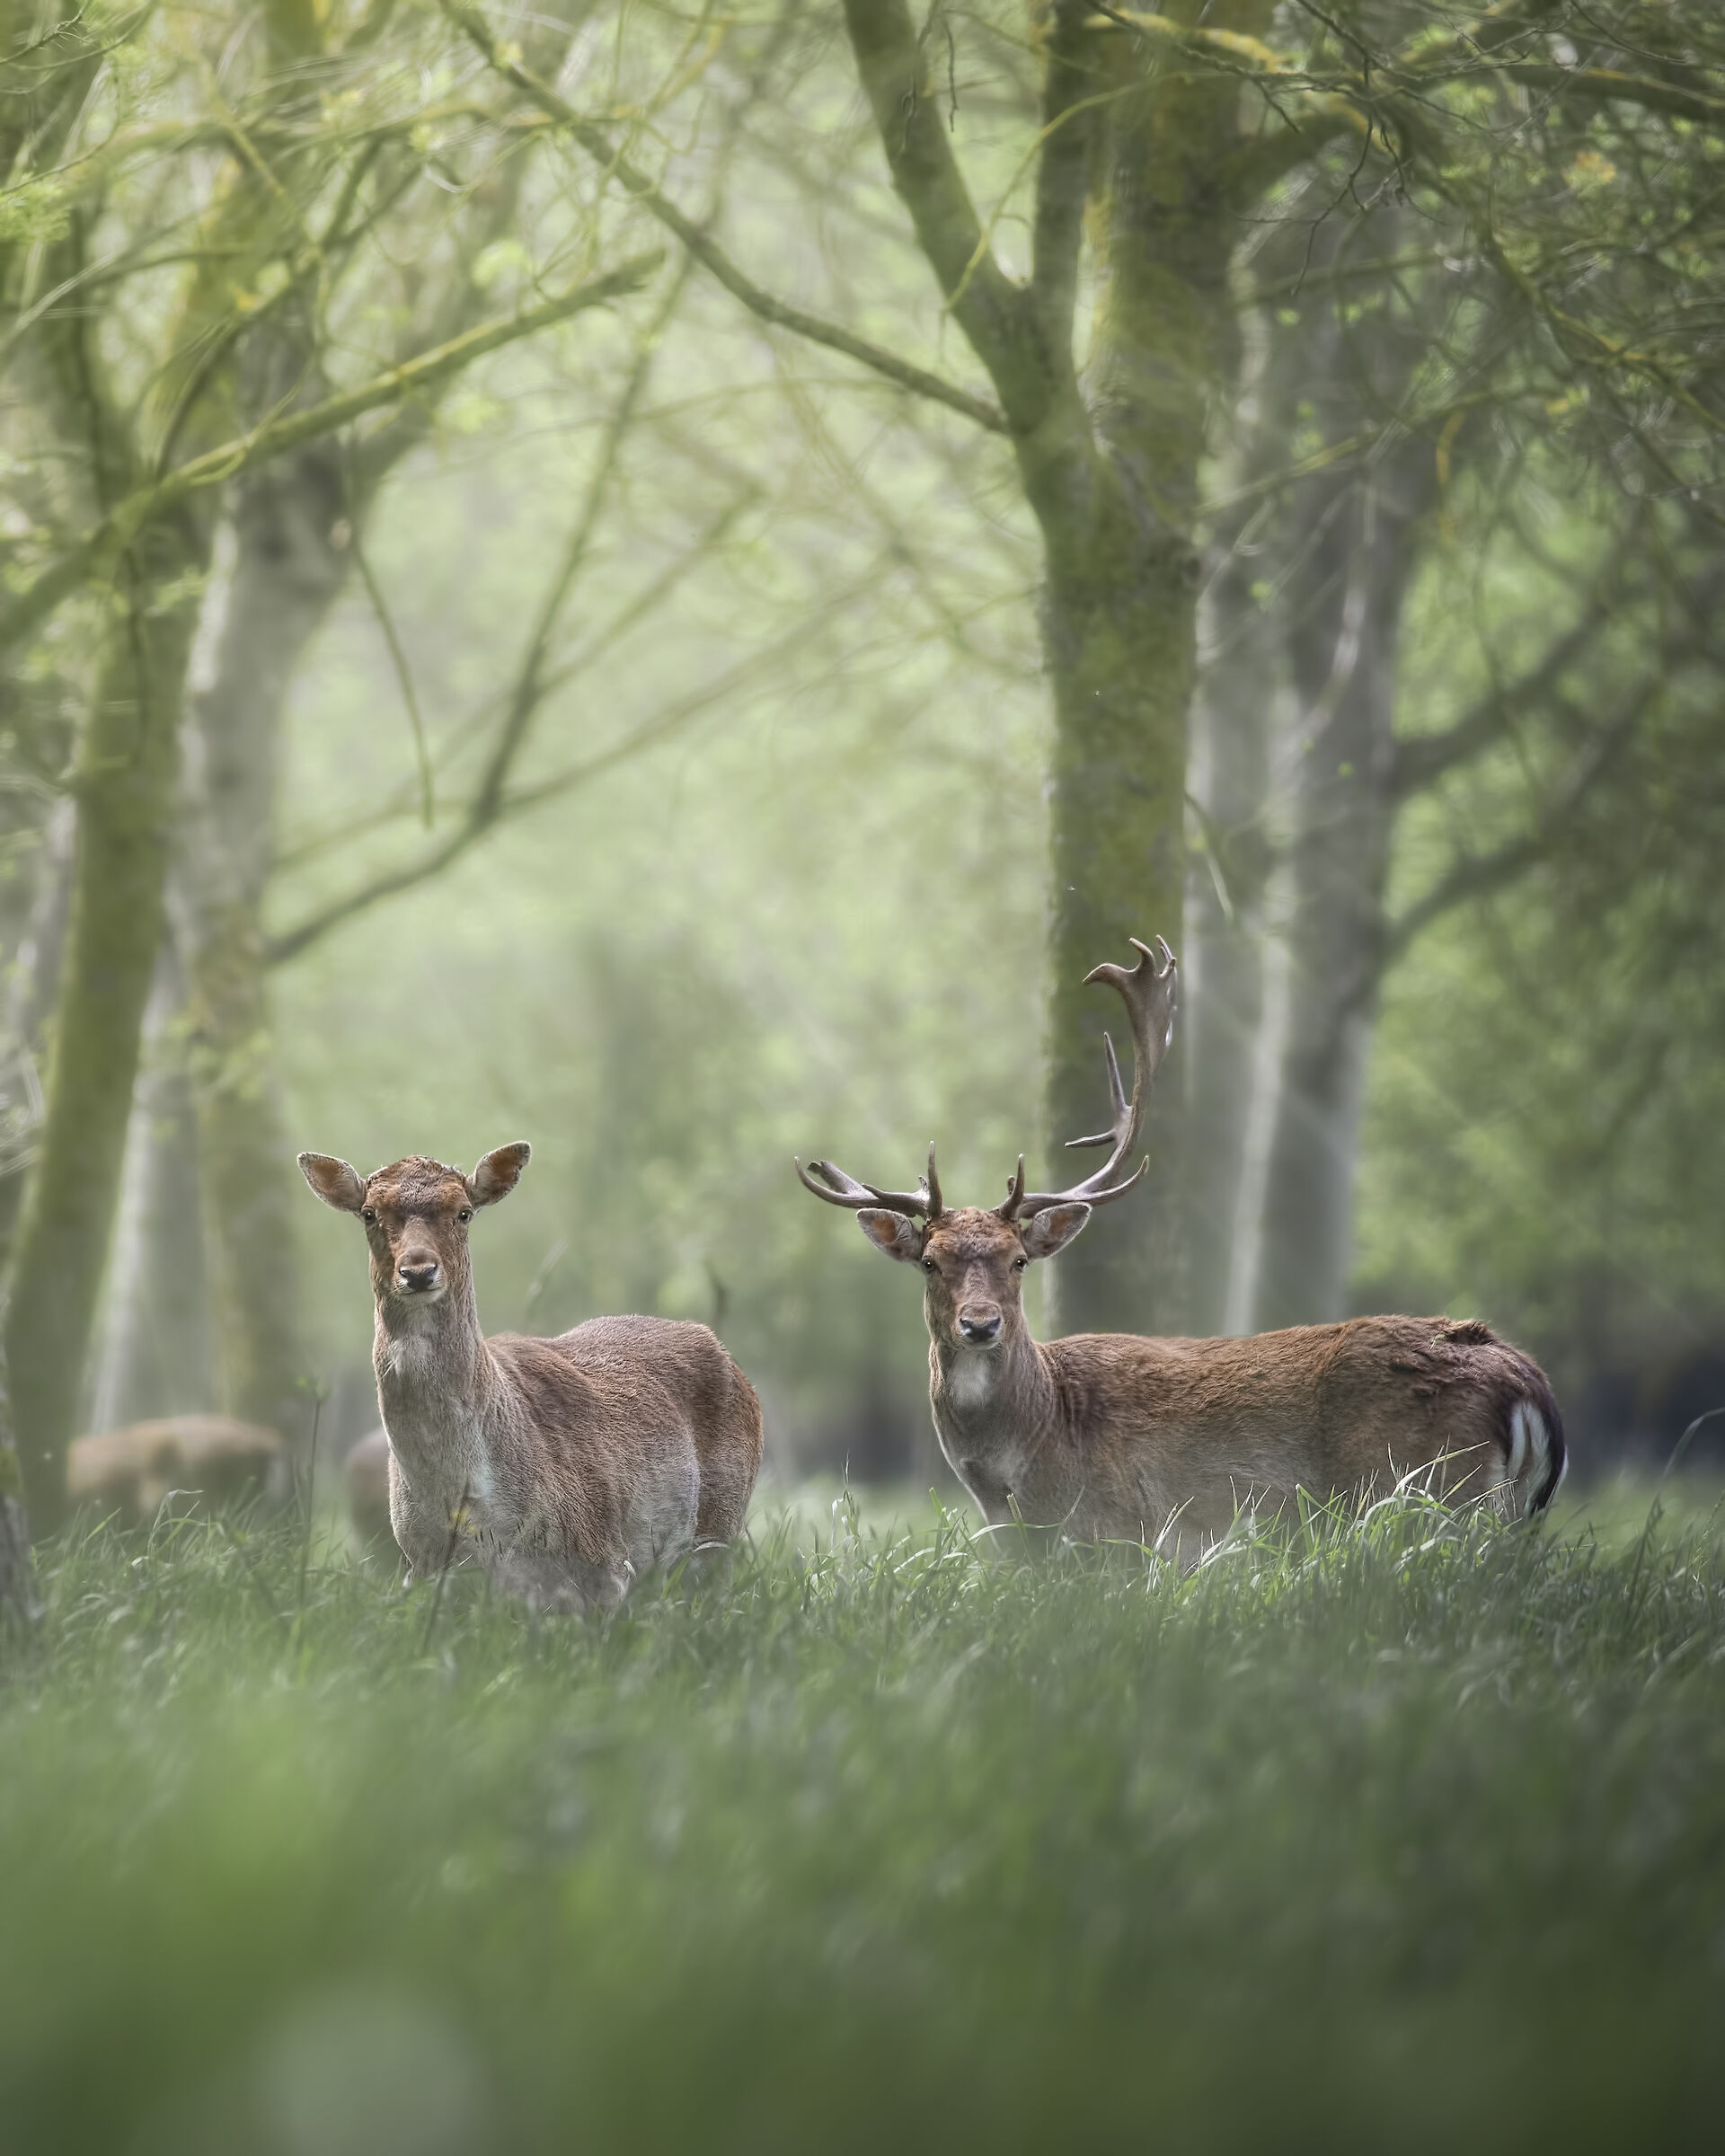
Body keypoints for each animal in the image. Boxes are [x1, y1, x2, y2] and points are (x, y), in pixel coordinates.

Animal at [299, 1142, 763, 1609]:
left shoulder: (605, 1562)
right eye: (368, 1213)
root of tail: (731, 1360)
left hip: (720, 1532)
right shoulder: (422, 1570)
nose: (418, 1271)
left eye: (464, 1212)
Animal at [797, 935, 1565, 1558]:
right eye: (930, 1262)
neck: (1019, 1484)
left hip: (1426, 1495)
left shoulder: (1127, 1541)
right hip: (1504, 1515)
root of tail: (1525, 1383)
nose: (980, 1324)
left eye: (1019, 1261)